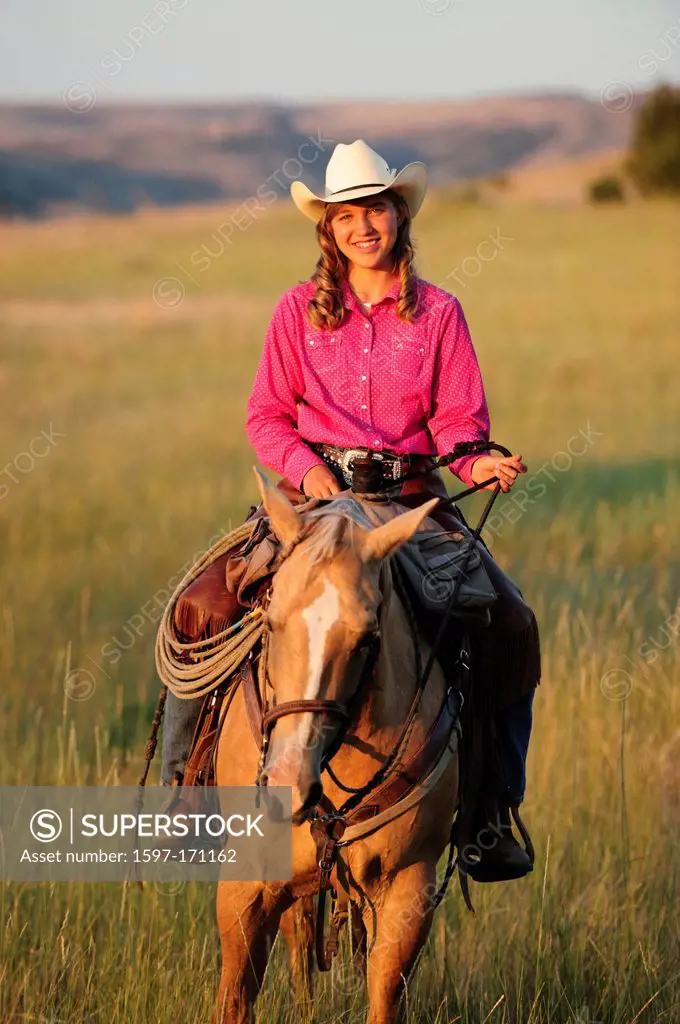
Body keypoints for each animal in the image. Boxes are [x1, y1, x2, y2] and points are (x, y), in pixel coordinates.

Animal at [215, 468, 458, 1019]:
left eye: (367, 638)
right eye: (271, 620)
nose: (286, 784)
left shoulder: (409, 886)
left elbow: (384, 995)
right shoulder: (245, 886)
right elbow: (235, 998)